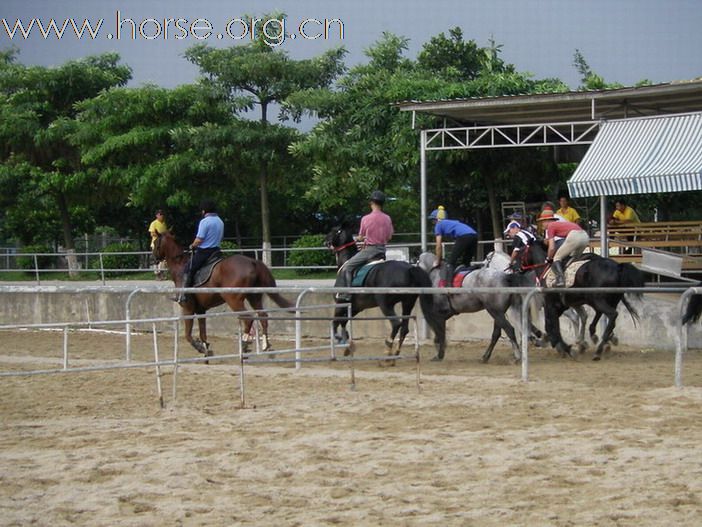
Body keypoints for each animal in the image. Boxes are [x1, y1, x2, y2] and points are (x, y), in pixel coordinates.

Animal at [154, 233, 294, 356]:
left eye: (155, 243)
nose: (153, 259)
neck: (180, 266)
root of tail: (252, 262)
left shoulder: (188, 308)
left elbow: (188, 335)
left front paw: (200, 348)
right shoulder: (200, 310)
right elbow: (203, 333)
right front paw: (206, 350)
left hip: (233, 300)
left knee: (248, 319)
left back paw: (244, 344)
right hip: (254, 298)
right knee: (263, 316)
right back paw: (265, 345)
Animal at [324, 221, 446, 360]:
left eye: (334, 230)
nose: (325, 241)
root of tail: (410, 269)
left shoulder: (340, 304)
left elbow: (335, 322)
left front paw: (339, 338)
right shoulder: (356, 307)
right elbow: (344, 322)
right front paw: (346, 346)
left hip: (385, 303)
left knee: (396, 324)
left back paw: (388, 349)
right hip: (407, 303)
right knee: (404, 328)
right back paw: (396, 352)